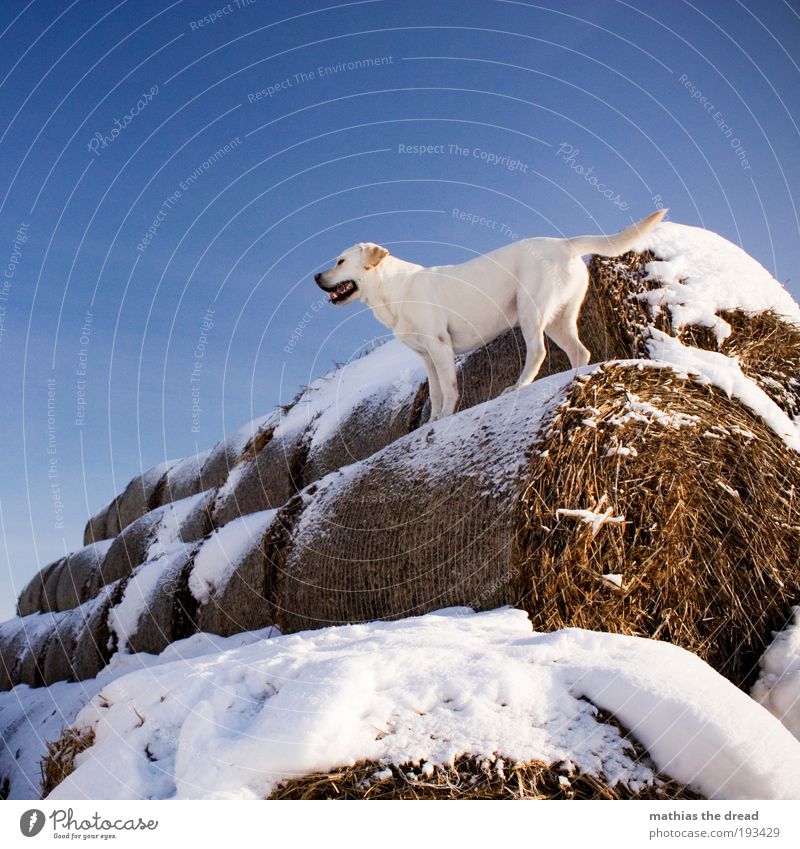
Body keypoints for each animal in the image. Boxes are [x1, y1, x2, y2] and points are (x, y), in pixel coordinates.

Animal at [316, 210, 664, 420]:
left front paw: (445, 418)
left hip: (530, 310)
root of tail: (564, 243)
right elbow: (436, 392)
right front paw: (432, 420)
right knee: (581, 351)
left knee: (538, 352)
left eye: (340, 261)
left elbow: (449, 388)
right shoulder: (426, 355)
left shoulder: (440, 346)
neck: (391, 289)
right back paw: (573, 378)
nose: (317, 277)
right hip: (559, 319)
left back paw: (518, 387)